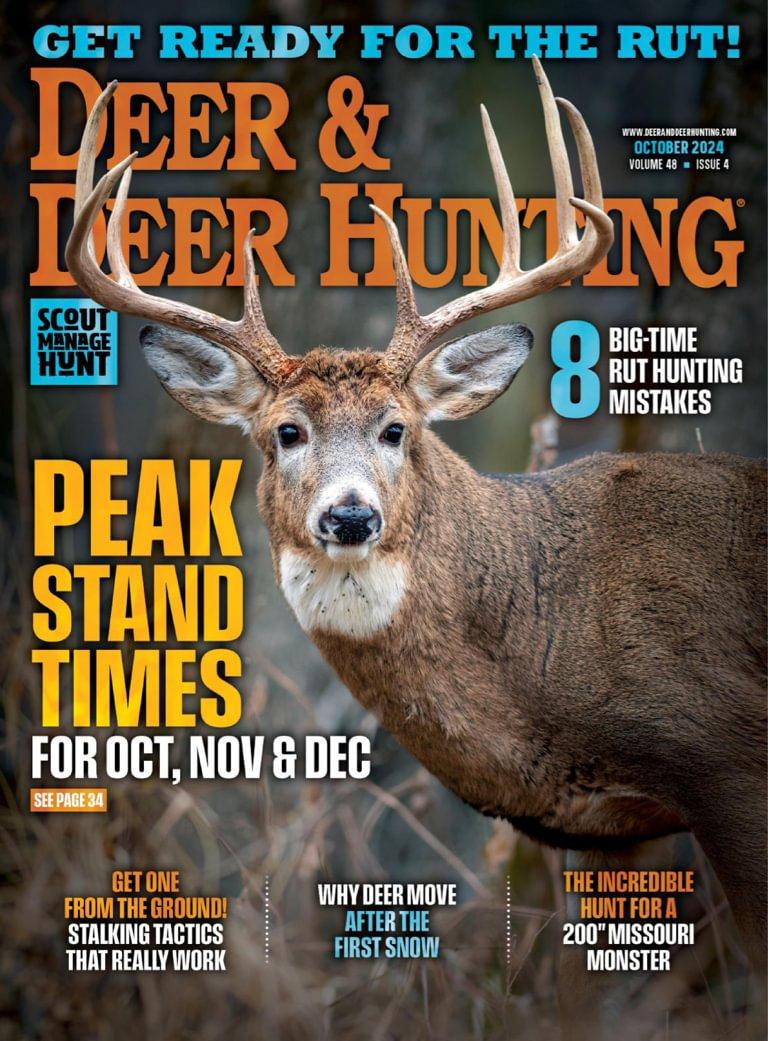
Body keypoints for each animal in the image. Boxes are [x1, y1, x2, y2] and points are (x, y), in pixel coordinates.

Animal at [66, 60, 766, 1035]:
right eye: (284, 432)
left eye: (396, 428)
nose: (351, 517)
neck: (552, 629)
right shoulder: (600, 829)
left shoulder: (728, 752)